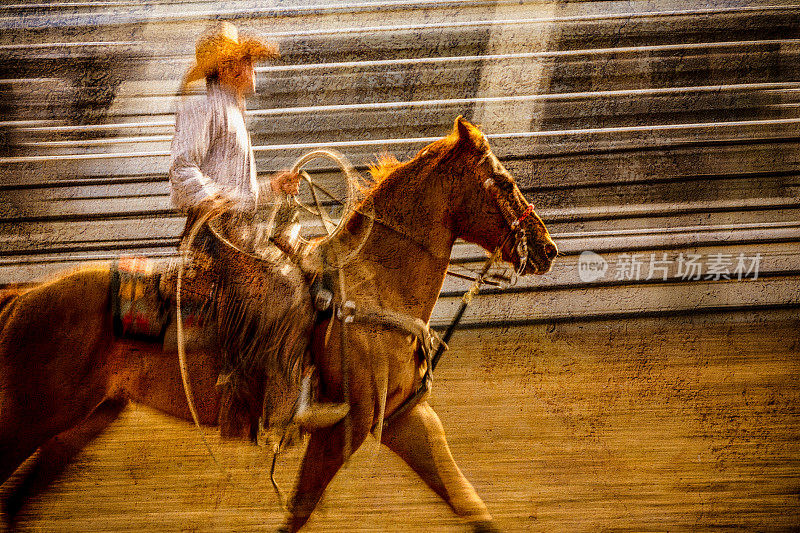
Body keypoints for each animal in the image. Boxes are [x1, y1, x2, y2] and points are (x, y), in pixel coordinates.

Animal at [0, 117, 556, 532]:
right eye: (504, 182)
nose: (547, 247)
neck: (375, 282)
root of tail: (25, 297)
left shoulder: (405, 418)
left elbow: (467, 502)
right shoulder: (343, 427)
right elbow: (300, 509)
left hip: (84, 420)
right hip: (34, 415)